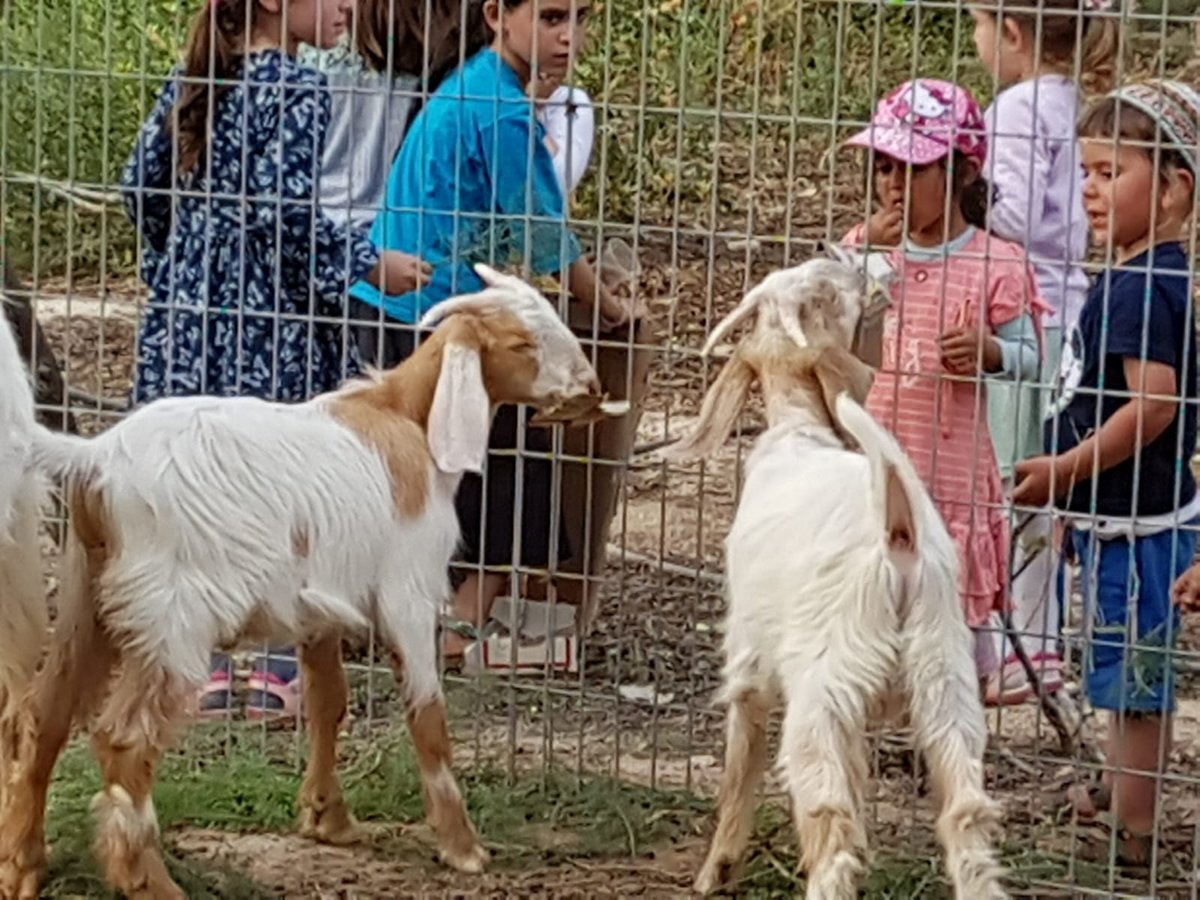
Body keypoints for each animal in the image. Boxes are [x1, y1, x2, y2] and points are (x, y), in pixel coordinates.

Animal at [0, 264, 609, 900]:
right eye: (520, 344)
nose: (591, 388)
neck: (406, 417)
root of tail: (98, 459)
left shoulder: (320, 608)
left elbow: (328, 702)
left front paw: (327, 818)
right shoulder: (409, 593)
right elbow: (428, 716)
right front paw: (463, 848)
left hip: (87, 592)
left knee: (43, 717)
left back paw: (21, 866)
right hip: (174, 617)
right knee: (124, 740)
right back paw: (151, 882)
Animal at [672, 248, 1008, 900]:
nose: (854, 260)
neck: (798, 433)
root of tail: (898, 535)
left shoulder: (749, 663)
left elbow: (739, 768)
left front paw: (713, 871)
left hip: (822, 690)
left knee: (832, 833)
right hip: (944, 684)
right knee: (965, 822)